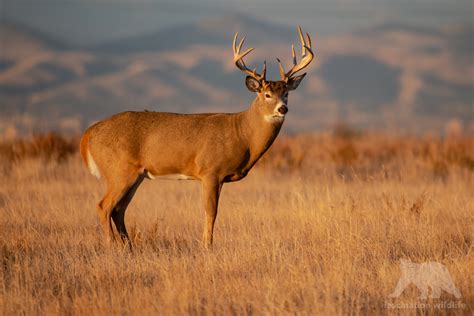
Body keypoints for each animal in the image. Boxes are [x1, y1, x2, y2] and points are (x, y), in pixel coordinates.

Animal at [79, 26, 312, 249]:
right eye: (266, 94)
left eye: (286, 93)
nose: (283, 109)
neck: (242, 134)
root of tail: (88, 134)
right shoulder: (210, 171)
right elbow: (211, 212)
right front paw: (207, 247)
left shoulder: (218, 177)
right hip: (118, 170)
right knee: (104, 206)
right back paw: (112, 247)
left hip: (135, 175)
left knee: (119, 209)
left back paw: (128, 248)